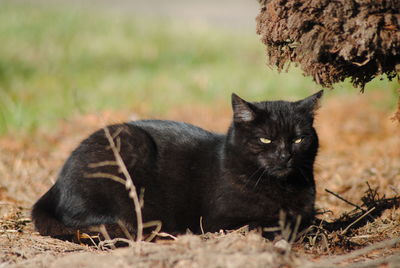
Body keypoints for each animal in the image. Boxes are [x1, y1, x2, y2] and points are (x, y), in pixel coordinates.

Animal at [32, 91, 324, 240]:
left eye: (299, 139)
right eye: (266, 139)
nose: (285, 155)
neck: (282, 187)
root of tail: (56, 184)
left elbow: (306, 218)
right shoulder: (220, 220)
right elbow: (274, 223)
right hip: (130, 145)